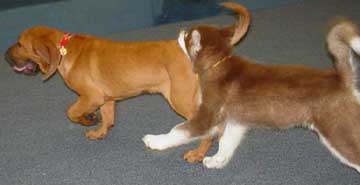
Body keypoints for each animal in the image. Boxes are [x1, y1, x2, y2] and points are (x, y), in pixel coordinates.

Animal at [4, 2, 249, 161]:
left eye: (20, 44)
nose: (5, 56)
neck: (64, 48)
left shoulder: (91, 96)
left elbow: (71, 112)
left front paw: (87, 119)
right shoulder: (106, 98)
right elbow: (108, 118)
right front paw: (99, 131)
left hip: (180, 98)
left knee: (208, 128)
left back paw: (197, 154)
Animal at [143, 17, 360, 172]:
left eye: (187, 36)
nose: (181, 30)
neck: (219, 63)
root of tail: (341, 77)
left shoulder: (207, 116)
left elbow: (179, 131)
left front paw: (155, 140)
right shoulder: (235, 120)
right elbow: (226, 142)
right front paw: (218, 160)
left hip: (338, 132)